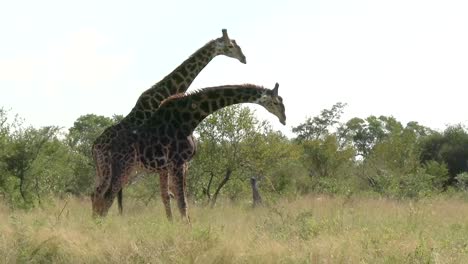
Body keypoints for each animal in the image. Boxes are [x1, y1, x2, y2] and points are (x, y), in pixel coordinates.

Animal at [91, 28, 245, 214]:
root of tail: (94, 147)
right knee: (101, 193)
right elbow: (168, 195)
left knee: (96, 193)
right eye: (231, 46)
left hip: (102, 169)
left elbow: (167, 195)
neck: (162, 94)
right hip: (109, 167)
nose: (244, 58)